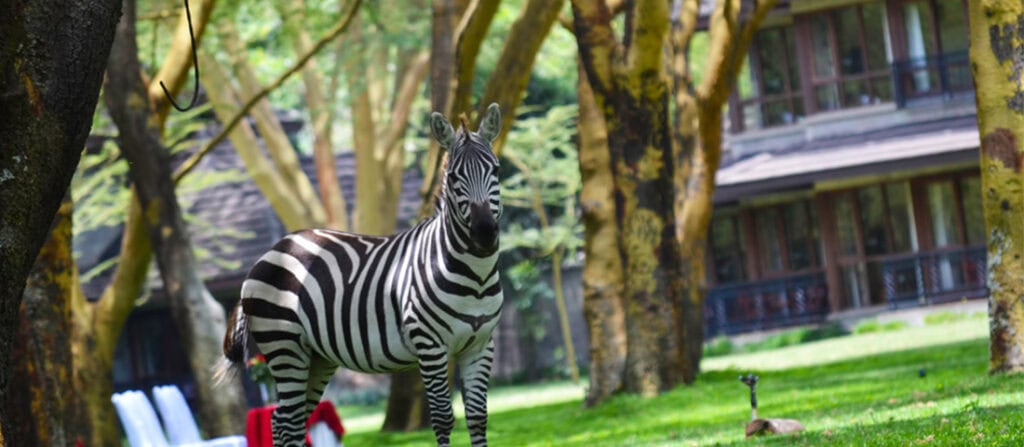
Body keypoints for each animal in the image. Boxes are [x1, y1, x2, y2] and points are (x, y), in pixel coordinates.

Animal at [217, 103, 505, 447]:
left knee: (288, 422)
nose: (485, 234)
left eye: (496, 170)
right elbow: (443, 419)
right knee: (285, 421)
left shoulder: (481, 346)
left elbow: (477, 418)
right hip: (285, 347)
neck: (476, 277)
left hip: (317, 357)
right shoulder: (430, 345)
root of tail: (272, 250)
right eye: (453, 177)